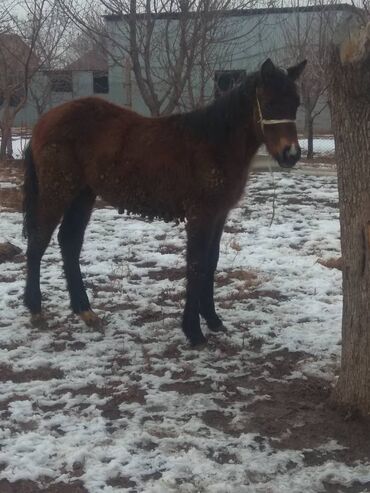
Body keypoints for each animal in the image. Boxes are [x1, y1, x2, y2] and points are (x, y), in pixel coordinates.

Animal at [22, 58, 306, 346]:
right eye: (268, 103)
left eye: (296, 102)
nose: (291, 154)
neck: (215, 142)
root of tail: (44, 122)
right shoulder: (200, 215)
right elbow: (196, 264)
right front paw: (193, 331)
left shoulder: (219, 214)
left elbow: (211, 262)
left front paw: (213, 320)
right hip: (58, 191)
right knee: (38, 241)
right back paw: (35, 308)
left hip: (83, 194)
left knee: (69, 241)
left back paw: (85, 310)